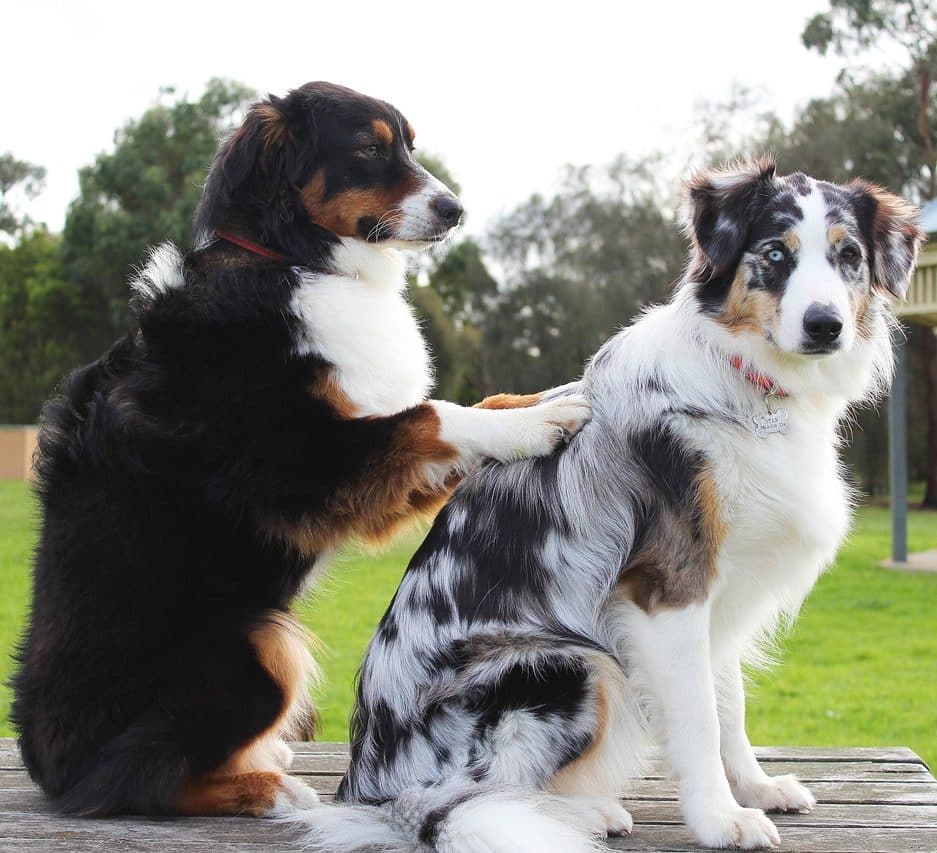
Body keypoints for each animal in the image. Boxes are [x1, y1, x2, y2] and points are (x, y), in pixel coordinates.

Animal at [11, 81, 588, 820]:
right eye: (368, 147)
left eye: (409, 146)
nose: (454, 210)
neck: (290, 258)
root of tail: (48, 768)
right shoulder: (306, 464)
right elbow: (433, 415)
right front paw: (541, 421)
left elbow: (469, 407)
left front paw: (541, 397)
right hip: (255, 647)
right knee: (132, 782)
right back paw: (267, 786)